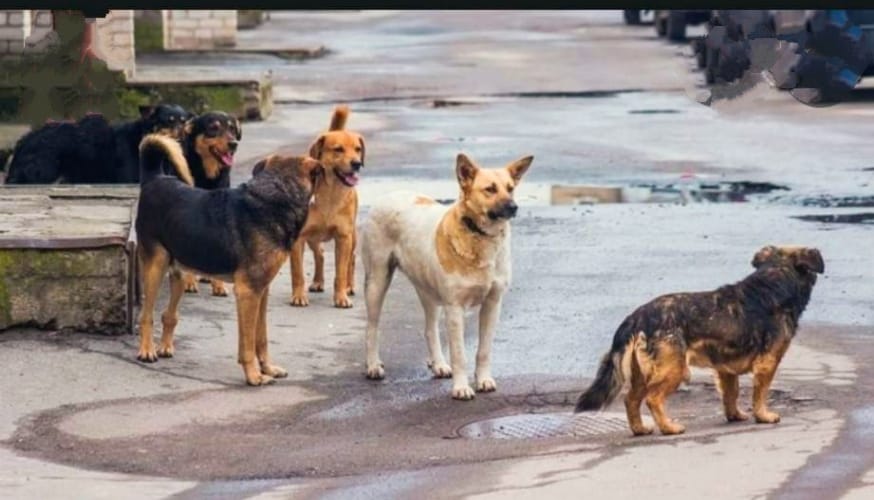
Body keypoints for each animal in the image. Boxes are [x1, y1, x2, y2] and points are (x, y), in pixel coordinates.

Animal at [3, 104, 191, 185]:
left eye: (183, 121)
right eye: (169, 121)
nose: (183, 136)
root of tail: (23, 143)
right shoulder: (133, 177)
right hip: (48, 168)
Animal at [576, 246, 820, 438]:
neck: (774, 278)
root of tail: (635, 318)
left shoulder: (725, 369)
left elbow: (731, 394)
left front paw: (734, 415)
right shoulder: (767, 363)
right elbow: (759, 394)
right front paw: (763, 416)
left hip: (642, 373)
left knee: (631, 400)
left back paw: (640, 429)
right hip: (674, 370)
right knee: (653, 399)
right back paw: (669, 428)